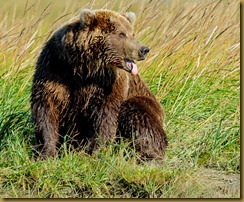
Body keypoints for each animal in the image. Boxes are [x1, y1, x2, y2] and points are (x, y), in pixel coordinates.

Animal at [30, 8, 167, 159]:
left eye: (132, 33)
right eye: (122, 34)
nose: (144, 50)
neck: (84, 67)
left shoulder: (108, 83)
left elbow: (105, 116)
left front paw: (94, 151)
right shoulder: (55, 68)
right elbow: (46, 109)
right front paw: (46, 152)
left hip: (146, 103)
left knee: (138, 116)